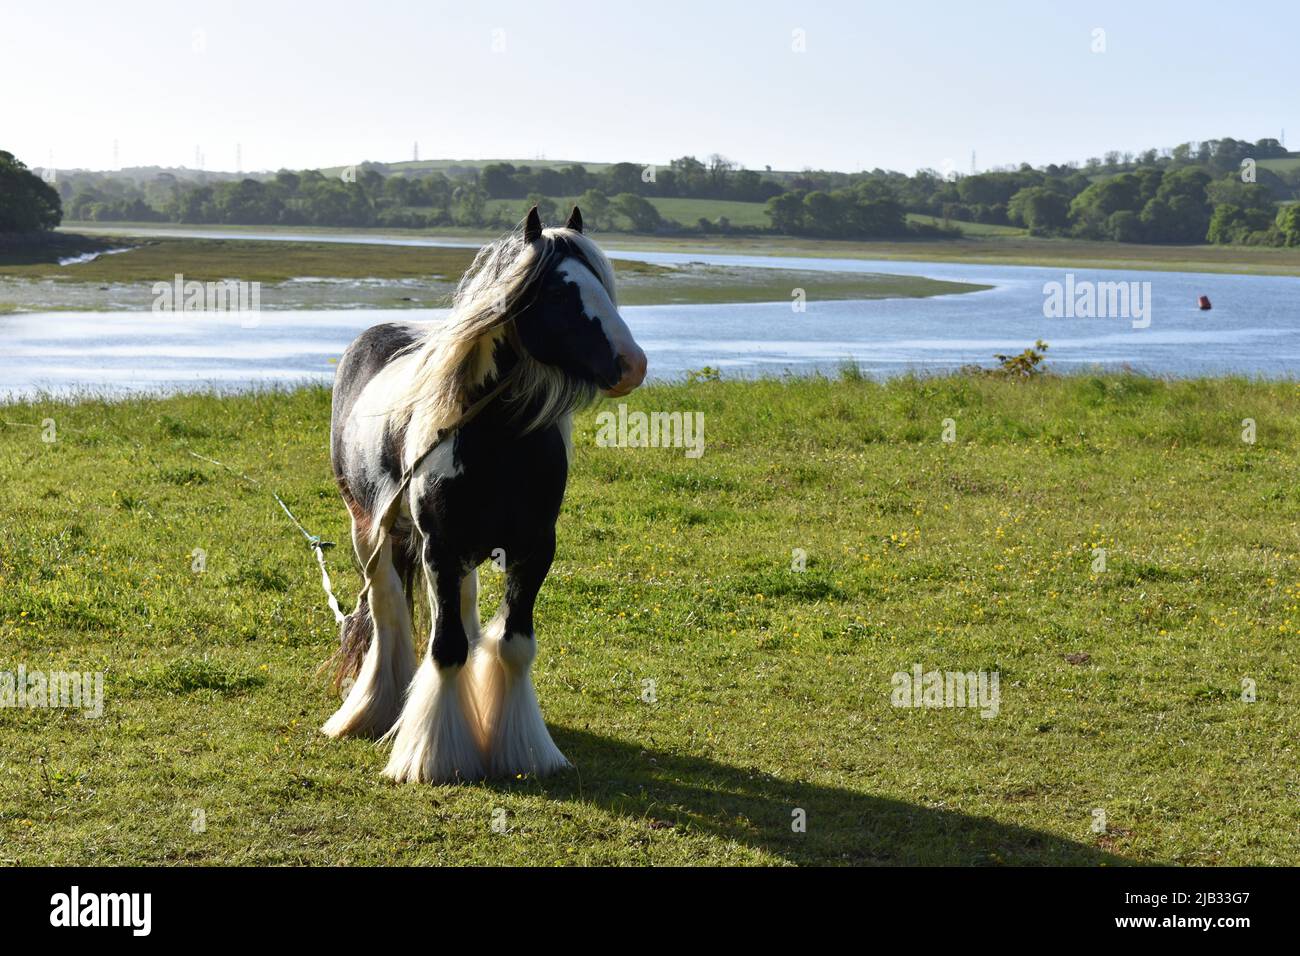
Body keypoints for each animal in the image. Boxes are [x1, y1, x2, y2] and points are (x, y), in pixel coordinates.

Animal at [319, 209, 644, 785]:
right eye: (558, 292)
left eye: (602, 284)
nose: (633, 364)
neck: (498, 441)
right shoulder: (440, 550)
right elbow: (445, 648)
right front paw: (433, 758)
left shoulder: (534, 550)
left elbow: (512, 645)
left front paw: (523, 751)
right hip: (370, 532)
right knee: (387, 613)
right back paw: (376, 710)